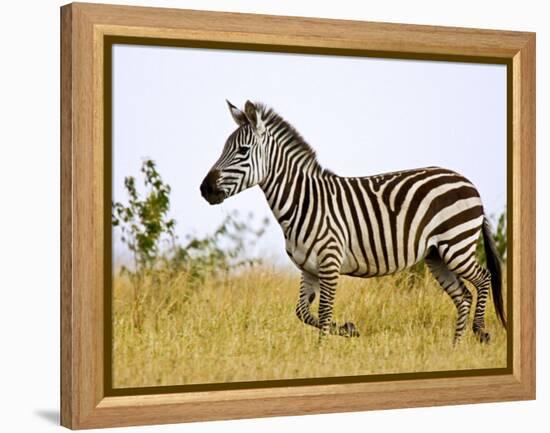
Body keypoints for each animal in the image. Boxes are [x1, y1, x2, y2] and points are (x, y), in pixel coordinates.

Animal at [201, 99, 506, 342]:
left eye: (242, 150)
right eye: (224, 148)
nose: (205, 189)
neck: (303, 200)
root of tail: (468, 182)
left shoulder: (330, 262)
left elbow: (323, 312)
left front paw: (320, 353)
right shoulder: (308, 268)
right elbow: (302, 312)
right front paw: (349, 329)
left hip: (456, 245)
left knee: (483, 278)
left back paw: (480, 331)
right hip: (437, 255)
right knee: (463, 296)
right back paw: (456, 347)